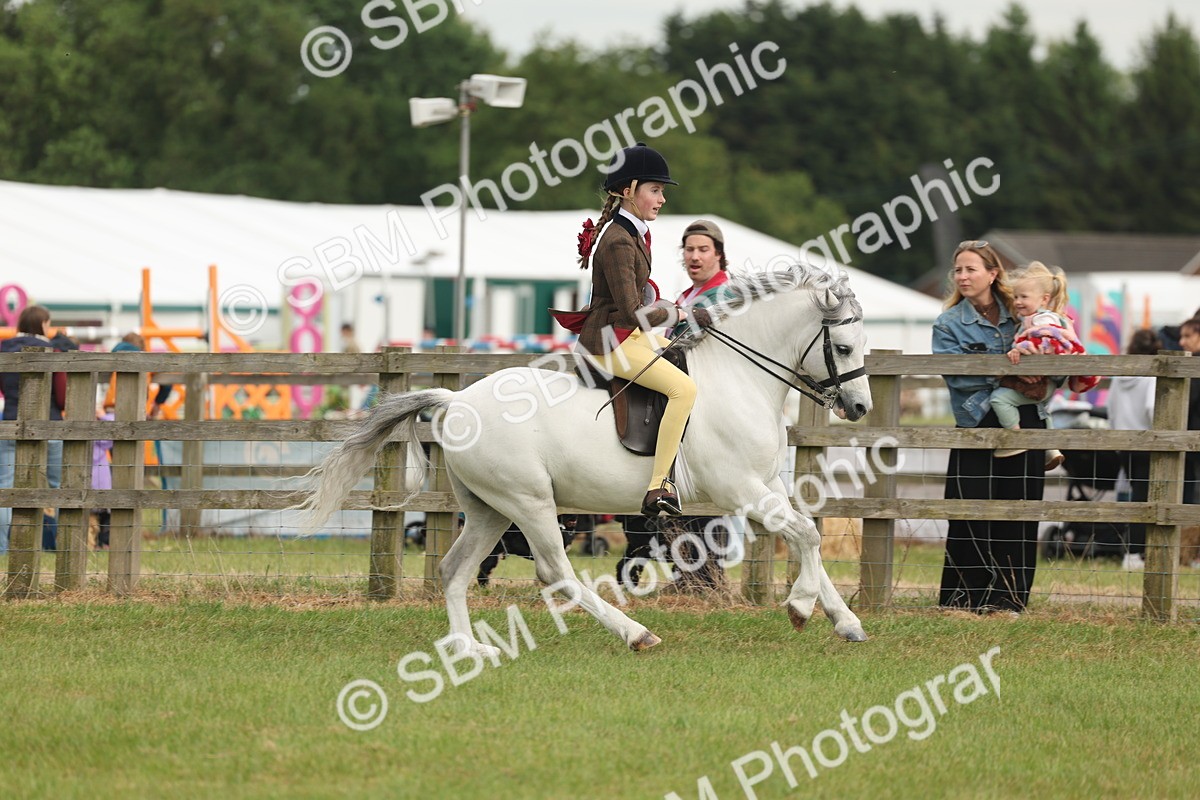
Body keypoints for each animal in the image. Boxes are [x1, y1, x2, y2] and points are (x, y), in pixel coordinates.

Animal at [298, 262, 874, 653]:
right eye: (844, 348)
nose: (860, 408)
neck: (739, 377)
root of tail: (456, 399)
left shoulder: (767, 485)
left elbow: (807, 536)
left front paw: (845, 620)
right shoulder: (741, 489)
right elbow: (807, 535)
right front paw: (800, 608)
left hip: (488, 509)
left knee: (453, 569)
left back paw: (466, 647)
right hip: (529, 503)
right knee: (555, 572)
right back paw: (636, 633)